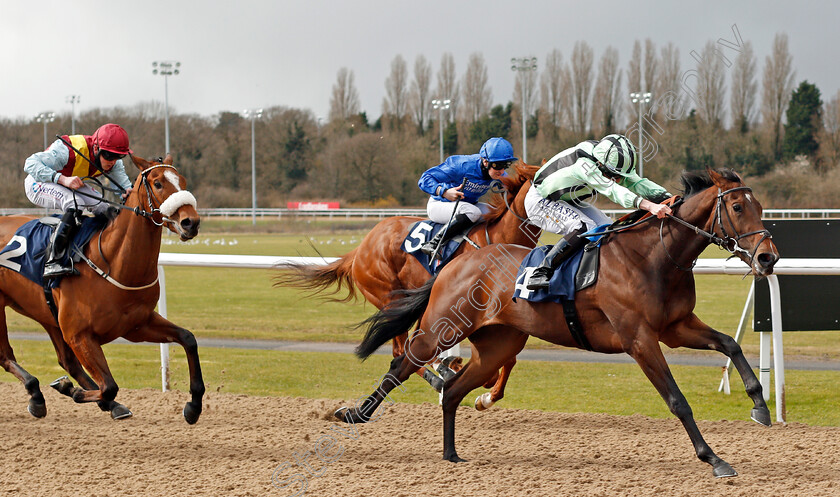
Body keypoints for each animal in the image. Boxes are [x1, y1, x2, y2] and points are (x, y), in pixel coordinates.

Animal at [0, 153, 205, 420]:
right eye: (158, 183)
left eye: (182, 180)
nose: (191, 222)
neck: (112, 262)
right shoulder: (79, 335)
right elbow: (109, 386)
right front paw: (72, 390)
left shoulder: (137, 324)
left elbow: (188, 338)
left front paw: (193, 405)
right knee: (5, 356)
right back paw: (36, 393)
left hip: (48, 313)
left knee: (67, 361)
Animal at [276, 163, 540, 404]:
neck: (500, 239)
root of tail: (360, 249)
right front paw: (479, 388)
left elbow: (507, 358)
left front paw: (487, 395)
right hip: (390, 297)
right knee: (402, 350)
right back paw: (440, 375)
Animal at [338, 170, 776, 476]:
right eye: (738, 208)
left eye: (760, 207)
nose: (768, 257)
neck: (653, 256)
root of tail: (456, 262)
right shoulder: (639, 339)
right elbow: (677, 400)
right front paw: (713, 458)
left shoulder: (676, 326)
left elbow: (730, 344)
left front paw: (760, 406)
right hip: (440, 328)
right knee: (402, 365)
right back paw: (353, 414)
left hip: (499, 342)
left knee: (454, 391)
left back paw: (451, 454)